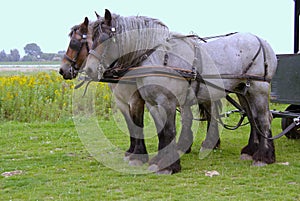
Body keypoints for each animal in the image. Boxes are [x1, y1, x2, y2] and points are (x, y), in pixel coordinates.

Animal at [83, 8, 278, 174]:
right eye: (91, 39)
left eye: (106, 38)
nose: (89, 70)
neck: (158, 57)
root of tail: (262, 41)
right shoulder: (152, 103)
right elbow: (161, 132)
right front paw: (159, 161)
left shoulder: (166, 101)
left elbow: (169, 132)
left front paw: (168, 166)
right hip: (242, 91)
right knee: (253, 118)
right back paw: (251, 151)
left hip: (258, 89)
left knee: (263, 119)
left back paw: (263, 157)